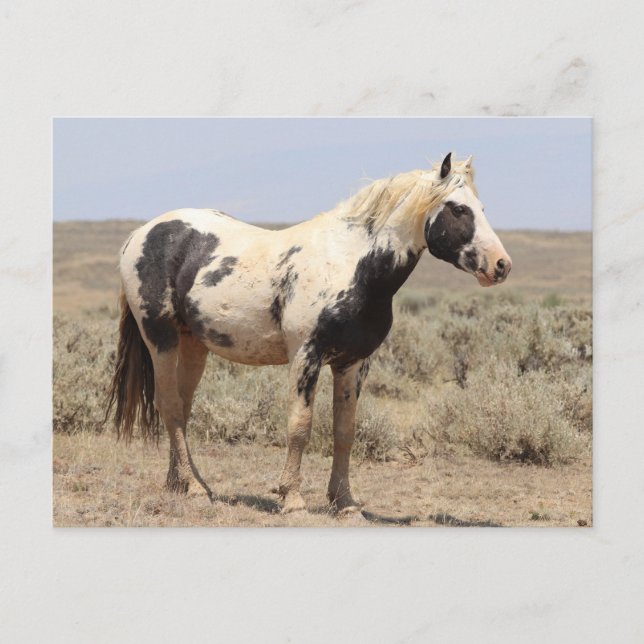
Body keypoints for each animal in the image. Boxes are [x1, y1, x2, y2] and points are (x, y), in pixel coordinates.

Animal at [105, 153, 511, 514]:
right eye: (458, 209)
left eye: (481, 207)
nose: (501, 265)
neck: (350, 266)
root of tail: (141, 234)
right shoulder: (306, 356)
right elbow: (300, 427)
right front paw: (292, 499)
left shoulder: (353, 363)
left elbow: (344, 431)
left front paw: (345, 503)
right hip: (161, 339)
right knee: (170, 406)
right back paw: (191, 488)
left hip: (194, 345)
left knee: (182, 409)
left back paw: (186, 484)